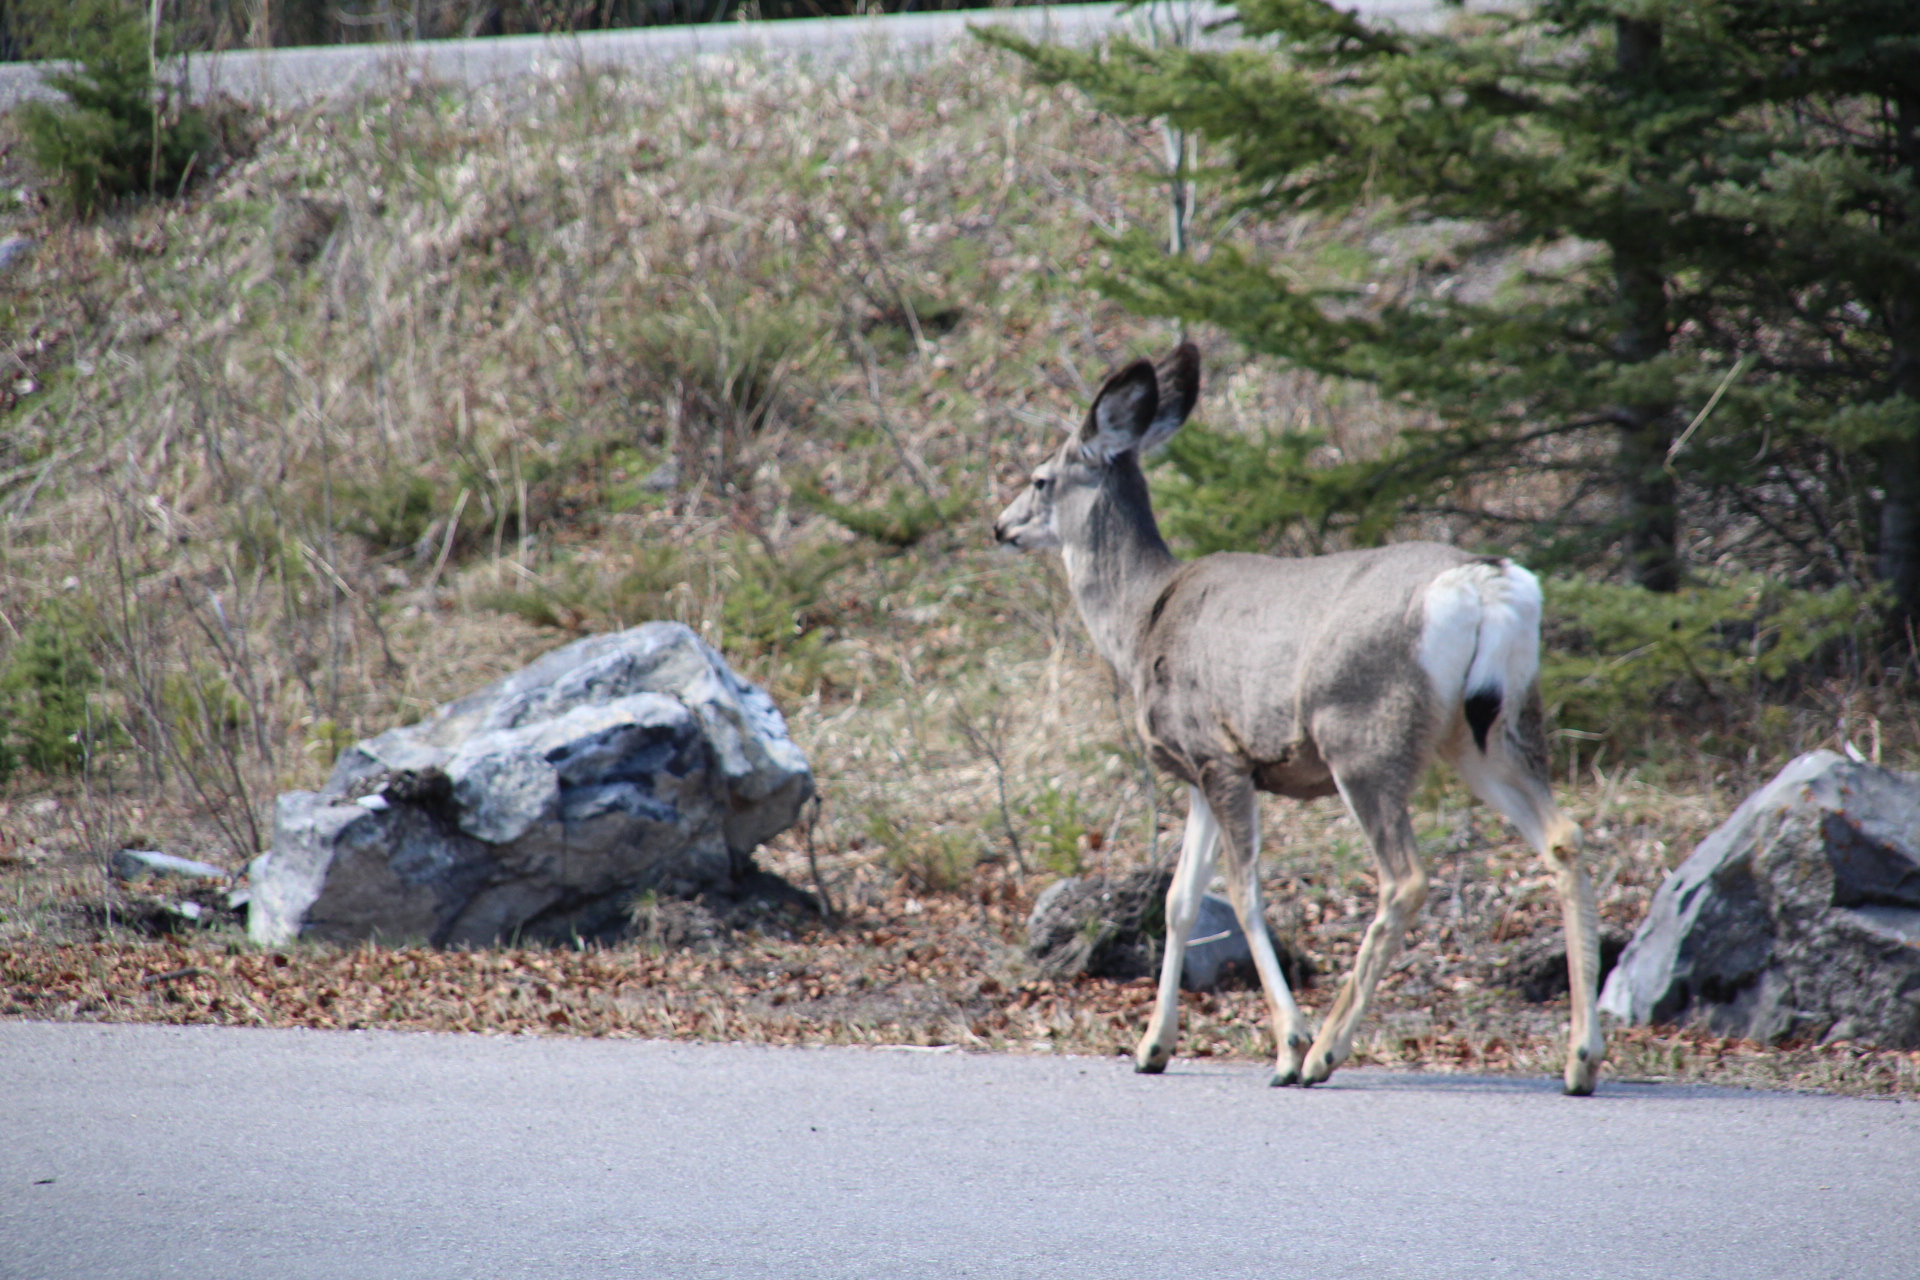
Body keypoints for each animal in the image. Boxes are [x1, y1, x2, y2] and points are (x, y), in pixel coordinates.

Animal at [992, 343, 1604, 1095]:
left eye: (1041, 478)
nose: (1000, 525)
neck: (1140, 622)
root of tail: (1483, 583)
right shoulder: (1198, 771)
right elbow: (1178, 901)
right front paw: (1151, 1046)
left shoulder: (1220, 754)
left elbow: (1242, 891)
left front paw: (1287, 1042)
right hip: (1494, 727)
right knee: (1564, 836)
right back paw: (1580, 1059)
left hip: (1362, 731)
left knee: (1404, 877)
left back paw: (1324, 1052)